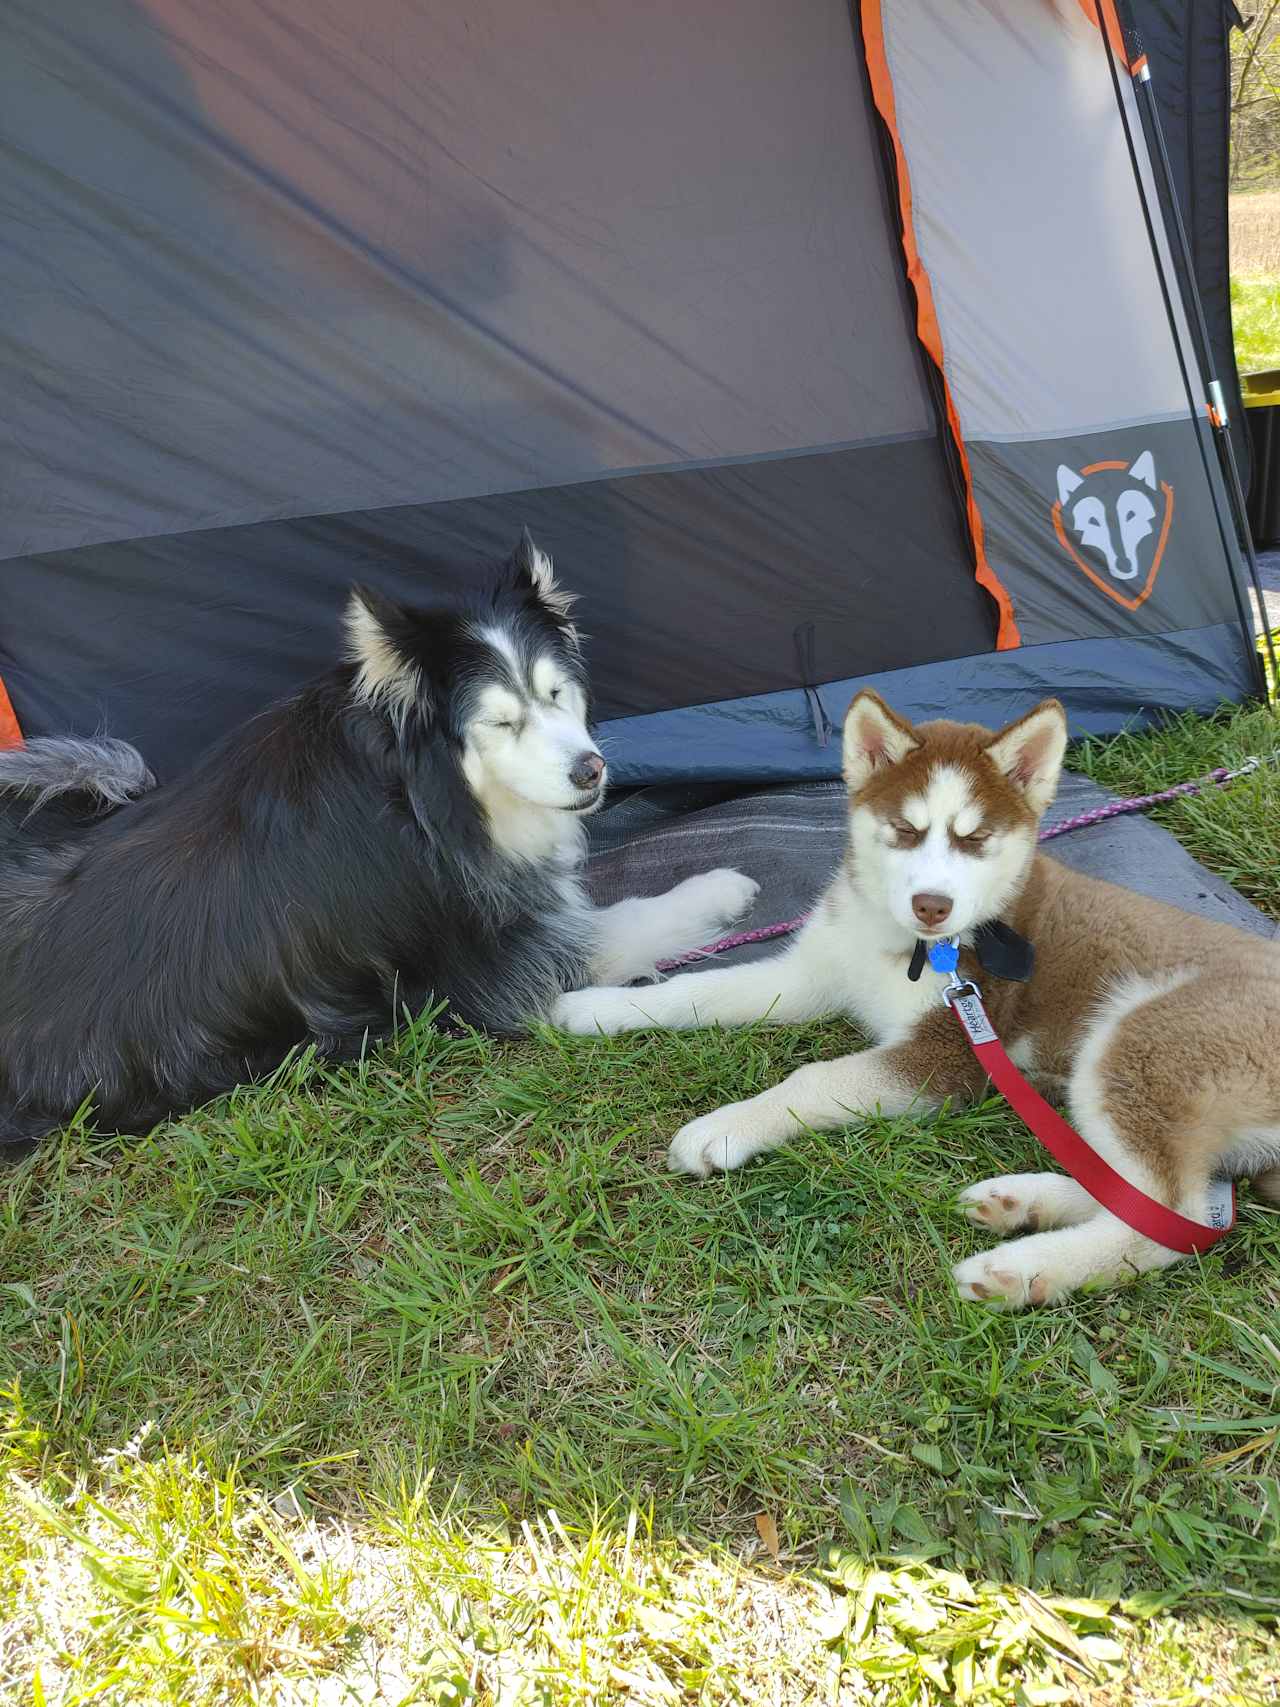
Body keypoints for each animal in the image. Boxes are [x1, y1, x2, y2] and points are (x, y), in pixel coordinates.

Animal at [556, 686, 1280, 1297]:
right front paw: (599, 1008)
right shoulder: (810, 973)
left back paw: (1022, 1269)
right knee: (1157, 1197)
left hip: (1141, 1043)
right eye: (905, 830)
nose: (933, 905)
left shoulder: (947, 1053)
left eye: (975, 838)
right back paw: (1022, 1203)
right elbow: (701, 989)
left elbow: (814, 1077)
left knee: (1171, 1223)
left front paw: (725, 1127)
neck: (902, 943)